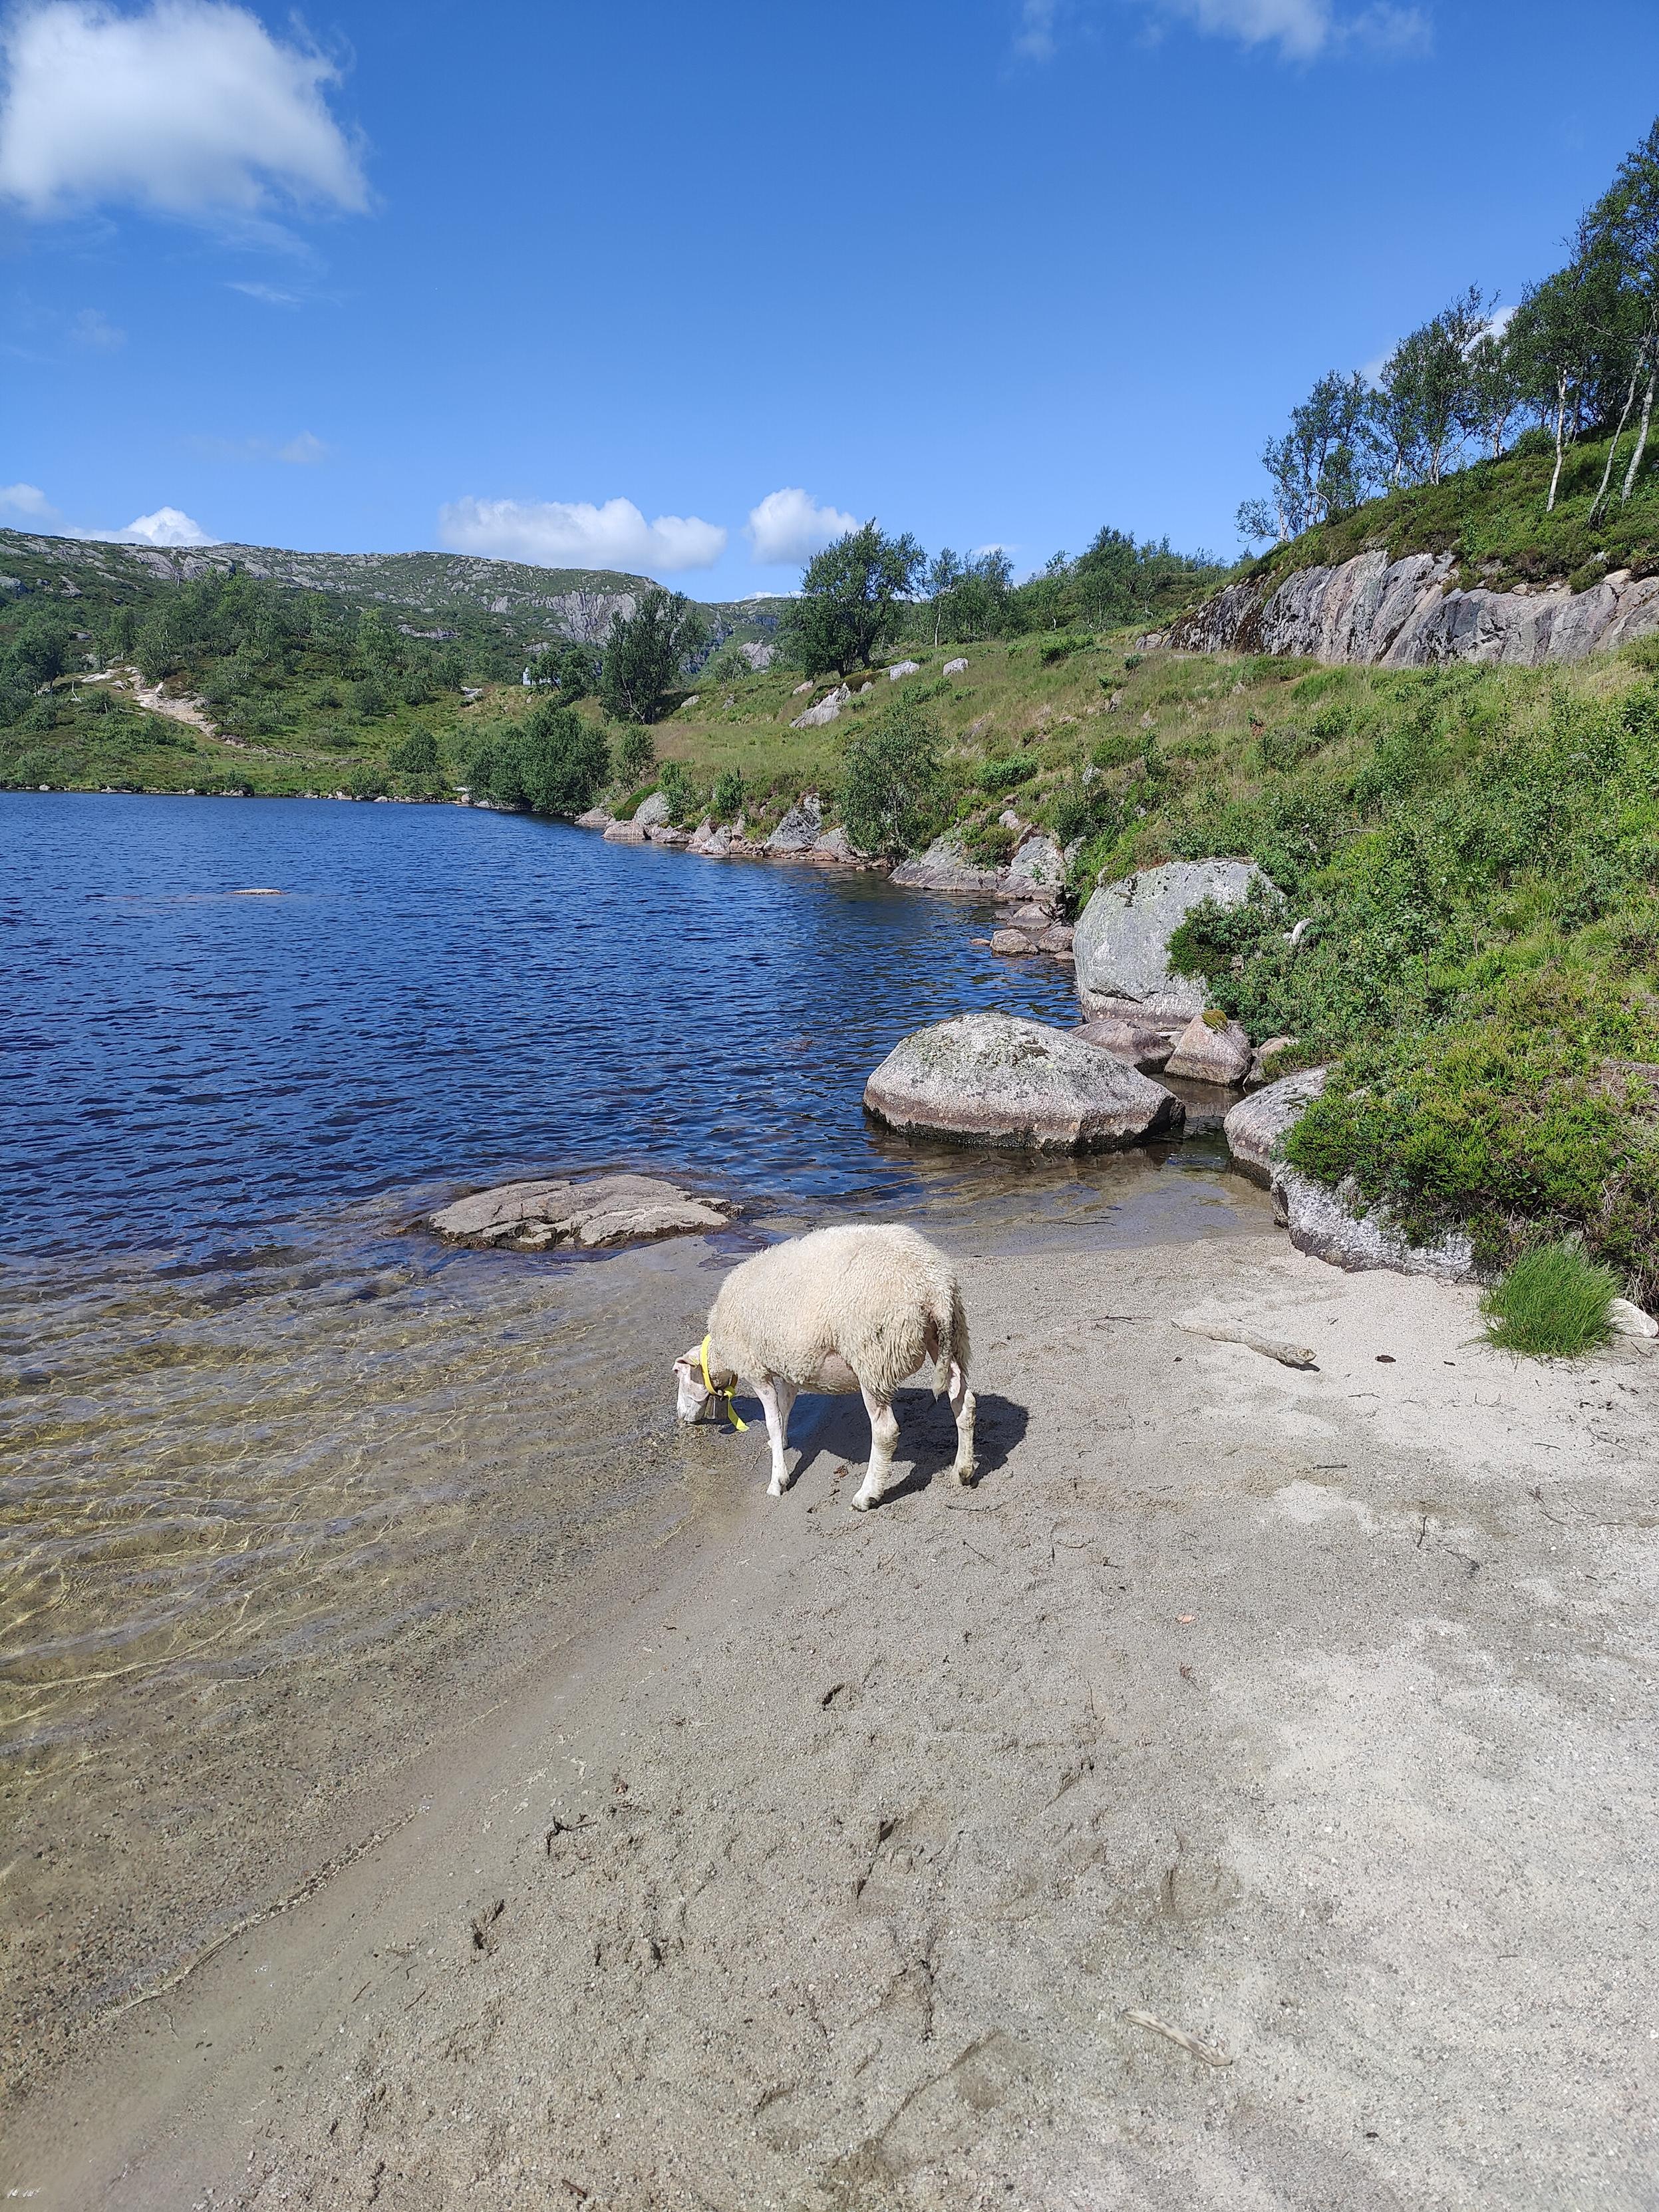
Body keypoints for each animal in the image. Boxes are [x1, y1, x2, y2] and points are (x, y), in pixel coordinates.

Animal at [674, 1223, 975, 1511]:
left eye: (679, 1375)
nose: (681, 1417)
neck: (720, 1352)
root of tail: (932, 1284)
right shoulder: (790, 1366)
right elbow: (785, 1408)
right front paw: (782, 1443)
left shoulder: (755, 1369)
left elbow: (772, 1420)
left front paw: (777, 1480)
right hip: (946, 1340)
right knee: (964, 1401)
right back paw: (963, 1469)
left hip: (872, 1357)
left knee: (885, 1431)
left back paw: (867, 1495)